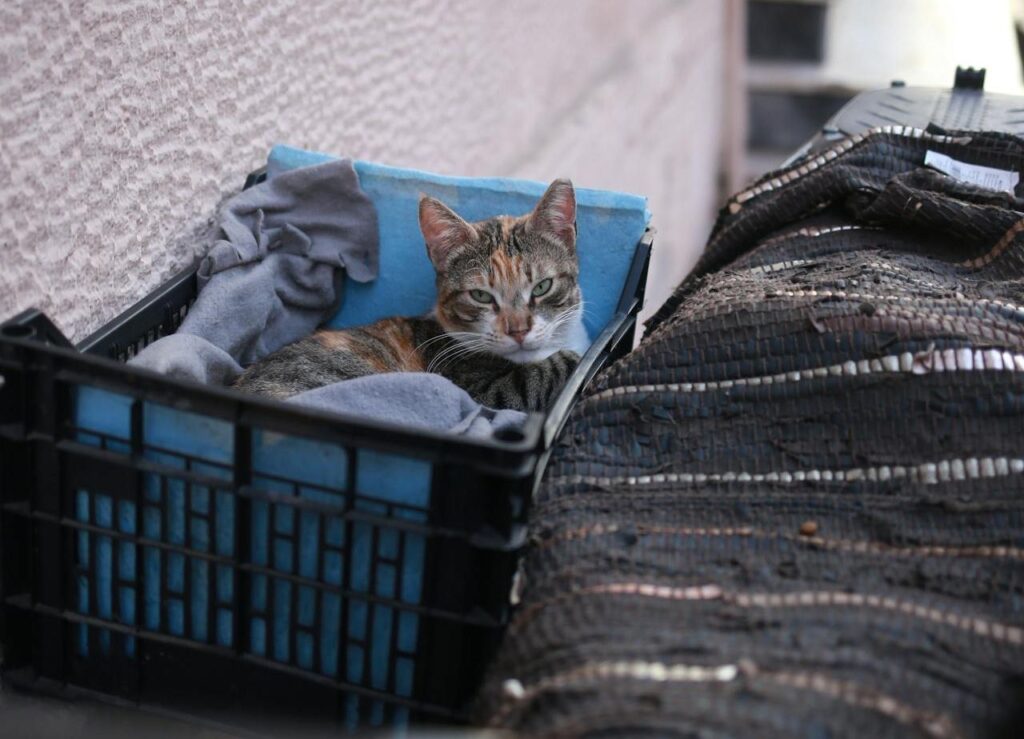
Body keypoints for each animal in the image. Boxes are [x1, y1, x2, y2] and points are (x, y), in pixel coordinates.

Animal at [231, 176, 585, 411]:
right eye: (481, 296)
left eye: (542, 287)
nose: (518, 331)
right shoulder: (478, 389)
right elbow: (535, 377)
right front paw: (570, 359)